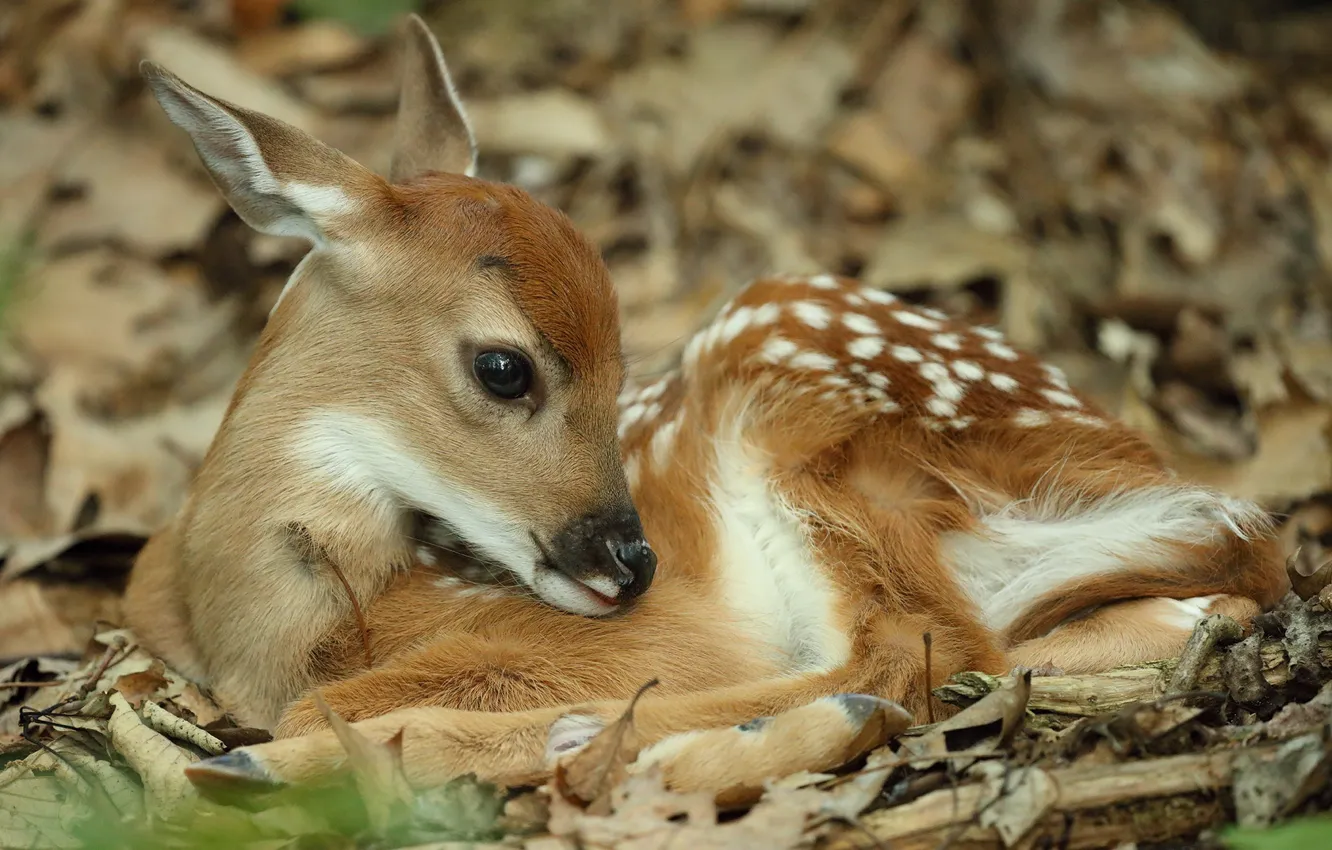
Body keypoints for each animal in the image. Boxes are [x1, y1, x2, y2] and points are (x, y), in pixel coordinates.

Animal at [121, 15, 1290, 801]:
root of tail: (1134, 461)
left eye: (621, 357)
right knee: (1152, 617)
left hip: (795, 420)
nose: (634, 561)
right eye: (505, 368)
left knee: (912, 654)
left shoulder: (637, 636)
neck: (266, 631)